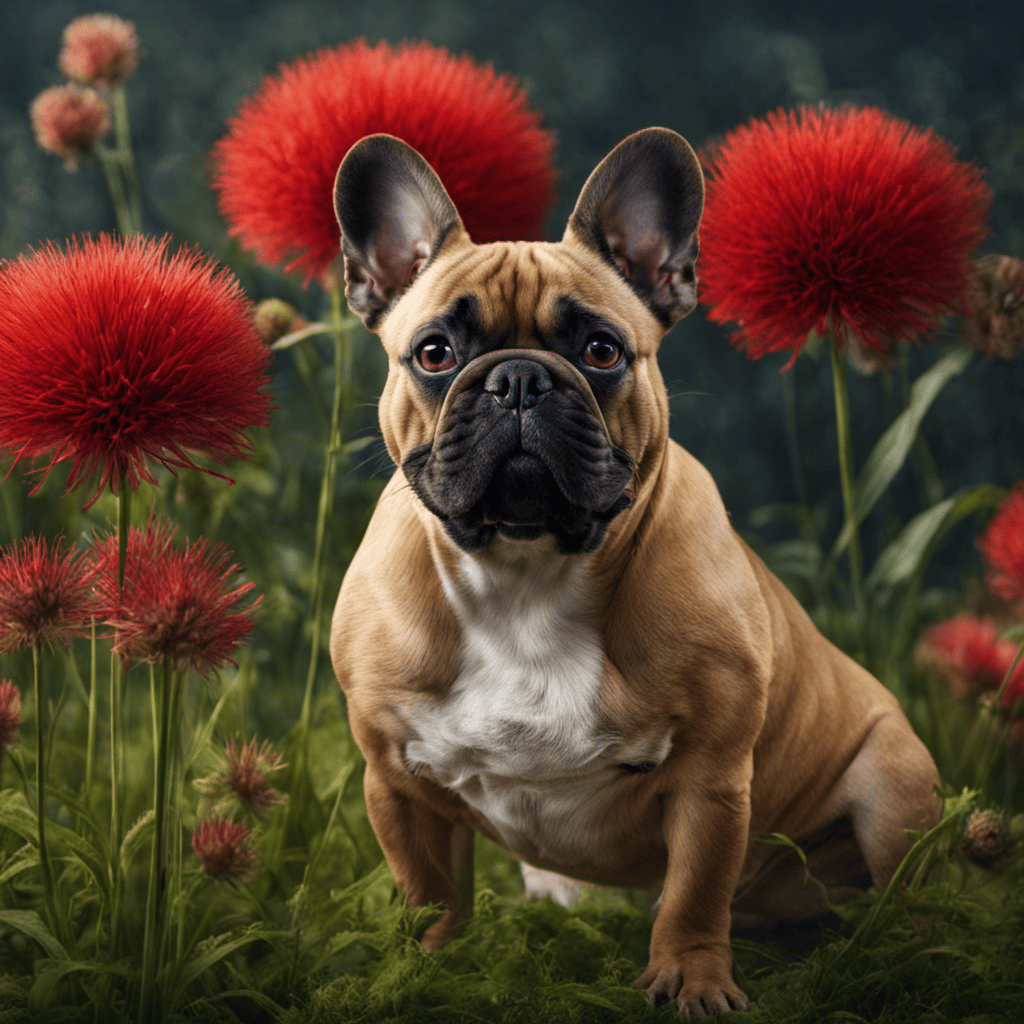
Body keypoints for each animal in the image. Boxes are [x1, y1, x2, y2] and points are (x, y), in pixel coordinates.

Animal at [329, 128, 942, 1015]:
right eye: (434, 353)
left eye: (601, 350)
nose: (518, 378)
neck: (525, 574)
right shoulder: (396, 782)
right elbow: (429, 895)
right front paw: (426, 974)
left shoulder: (712, 780)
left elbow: (693, 892)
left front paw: (691, 980)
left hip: (894, 786)